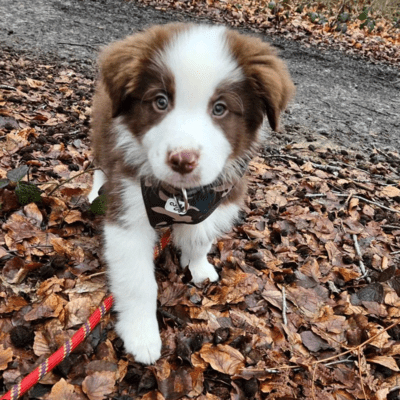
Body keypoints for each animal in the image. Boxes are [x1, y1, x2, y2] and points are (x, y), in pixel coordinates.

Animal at [88, 23, 294, 364]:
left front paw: (198, 267)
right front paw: (141, 336)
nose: (182, 160)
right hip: (103, 142)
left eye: (220, 108)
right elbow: (137, 282)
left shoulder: (218, 197)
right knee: (100, 168)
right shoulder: (128, 213)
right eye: (160, 101)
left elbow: (199, 237)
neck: (179, 194)